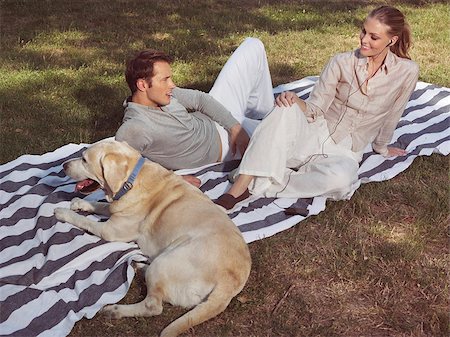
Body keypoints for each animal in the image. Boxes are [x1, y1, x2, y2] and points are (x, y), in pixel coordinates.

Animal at [54, 139, 251, 336]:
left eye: (85, 159)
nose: (64, 165)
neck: (131, 181)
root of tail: (229, 283)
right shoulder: (114, 210)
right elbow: (100, 205)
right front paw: (80, 204)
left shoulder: (109, 230)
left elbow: (84, 220)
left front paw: (63, 212)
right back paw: (140, 266)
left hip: (166, 261)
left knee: (153, 306)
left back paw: (116, 310)